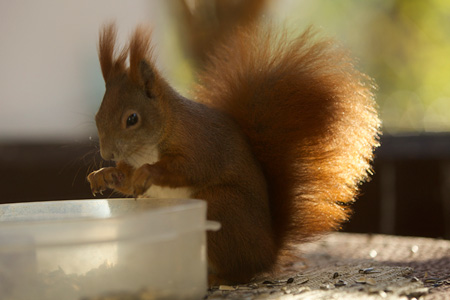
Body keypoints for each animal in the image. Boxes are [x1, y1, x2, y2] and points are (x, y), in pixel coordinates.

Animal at [87, 22, 380, 284]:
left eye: (132, 119)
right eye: (97, 116)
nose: (107, 152)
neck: (149, 146)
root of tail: (269, 250)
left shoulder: (200, 144)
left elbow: (189, 169)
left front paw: (147, 172)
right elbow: (125, 181)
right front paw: (104, 174)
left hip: (219, 208)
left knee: (243, 271)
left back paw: (217, 278)